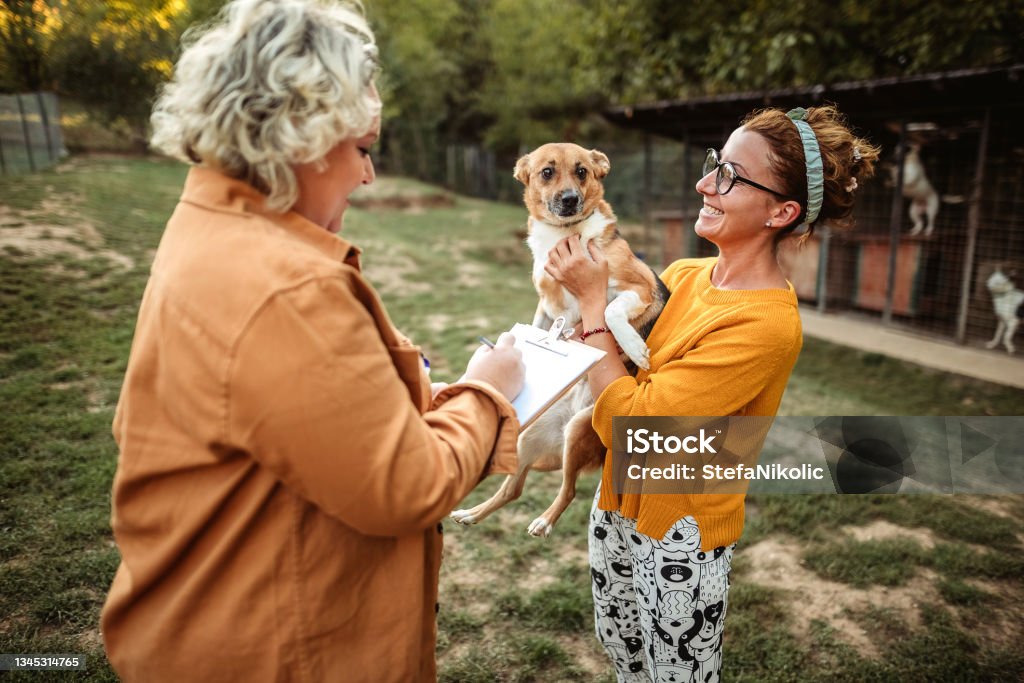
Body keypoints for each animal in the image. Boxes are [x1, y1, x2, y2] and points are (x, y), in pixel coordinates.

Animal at [452, 144, 667, 536]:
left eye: (582, 171)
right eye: (547, 172)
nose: (569, 199)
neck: (566, 235)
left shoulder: (638, 285)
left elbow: (609, 311)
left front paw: (634, 347)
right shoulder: (545, 306)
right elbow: (531, 326)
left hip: (579, 431)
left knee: (567, 491)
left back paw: (544, 521)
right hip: (528, 436)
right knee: (513, 488)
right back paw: (472, 513)